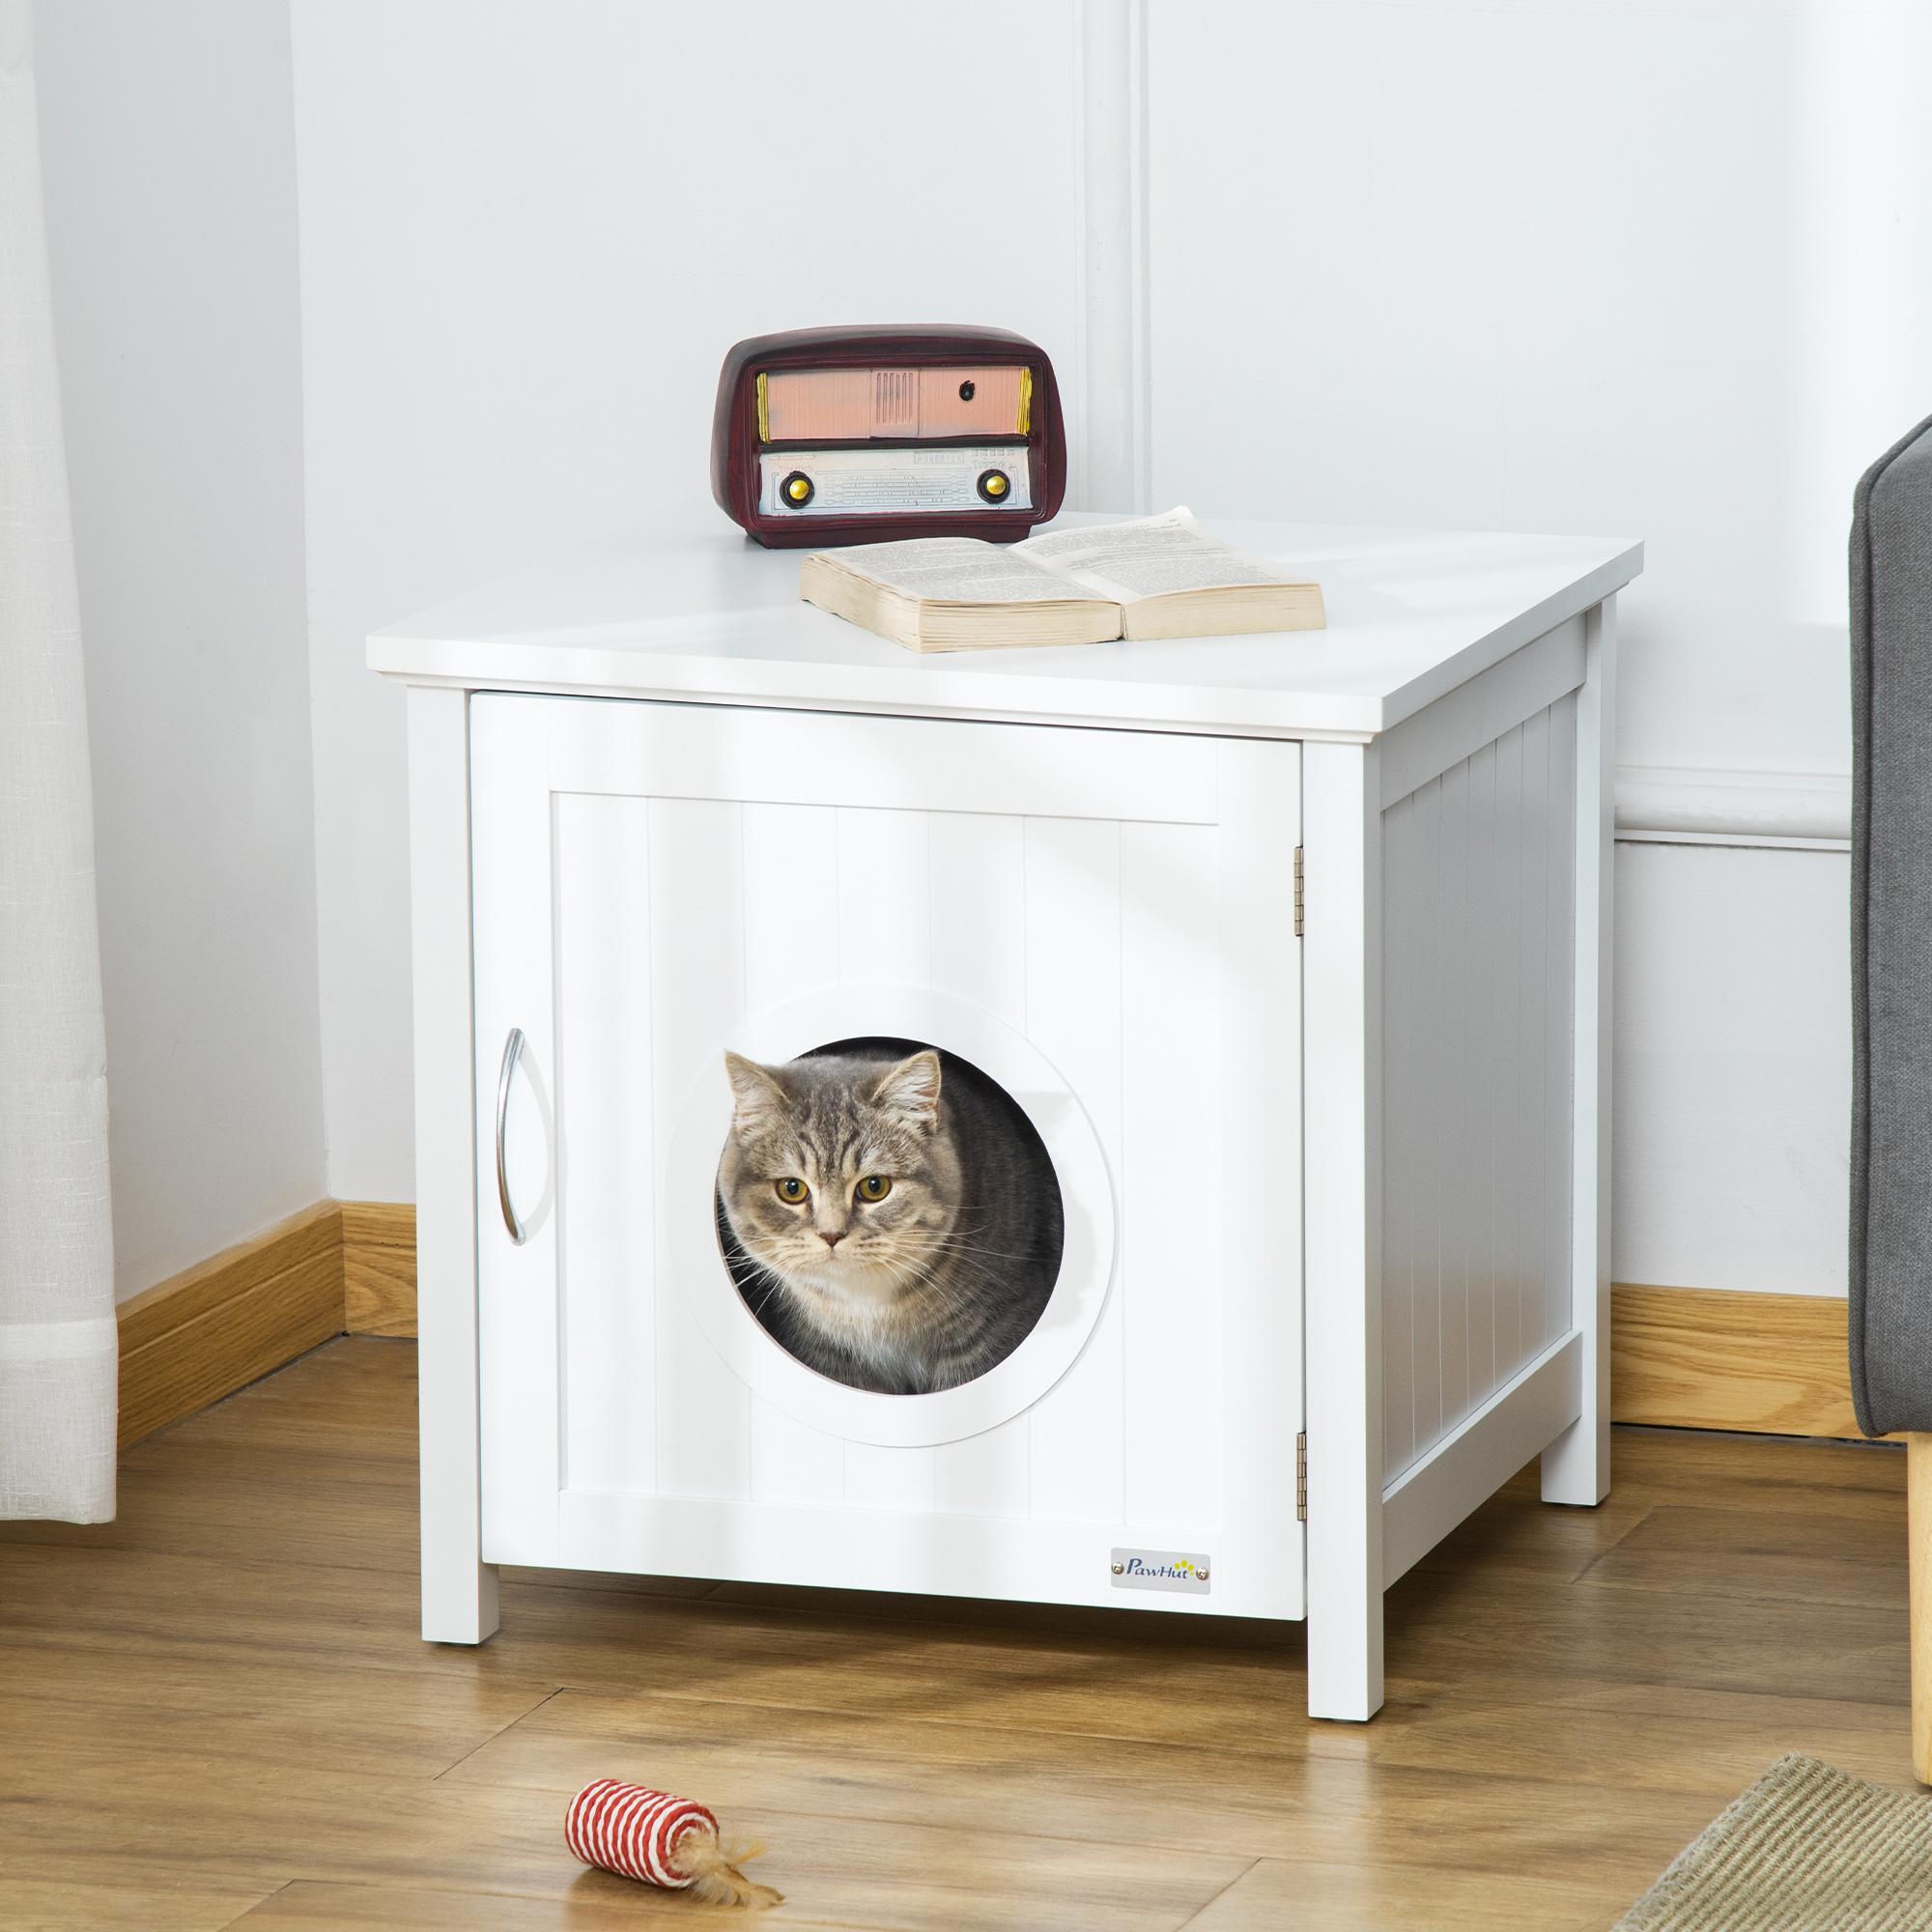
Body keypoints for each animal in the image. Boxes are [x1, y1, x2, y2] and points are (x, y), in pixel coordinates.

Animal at [719, 1036, 1066, 1399]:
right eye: (791, 1188)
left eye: (875, 1186)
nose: (831, 1235)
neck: (867, 1305)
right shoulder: (829, 1355)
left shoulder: (989, 1335)